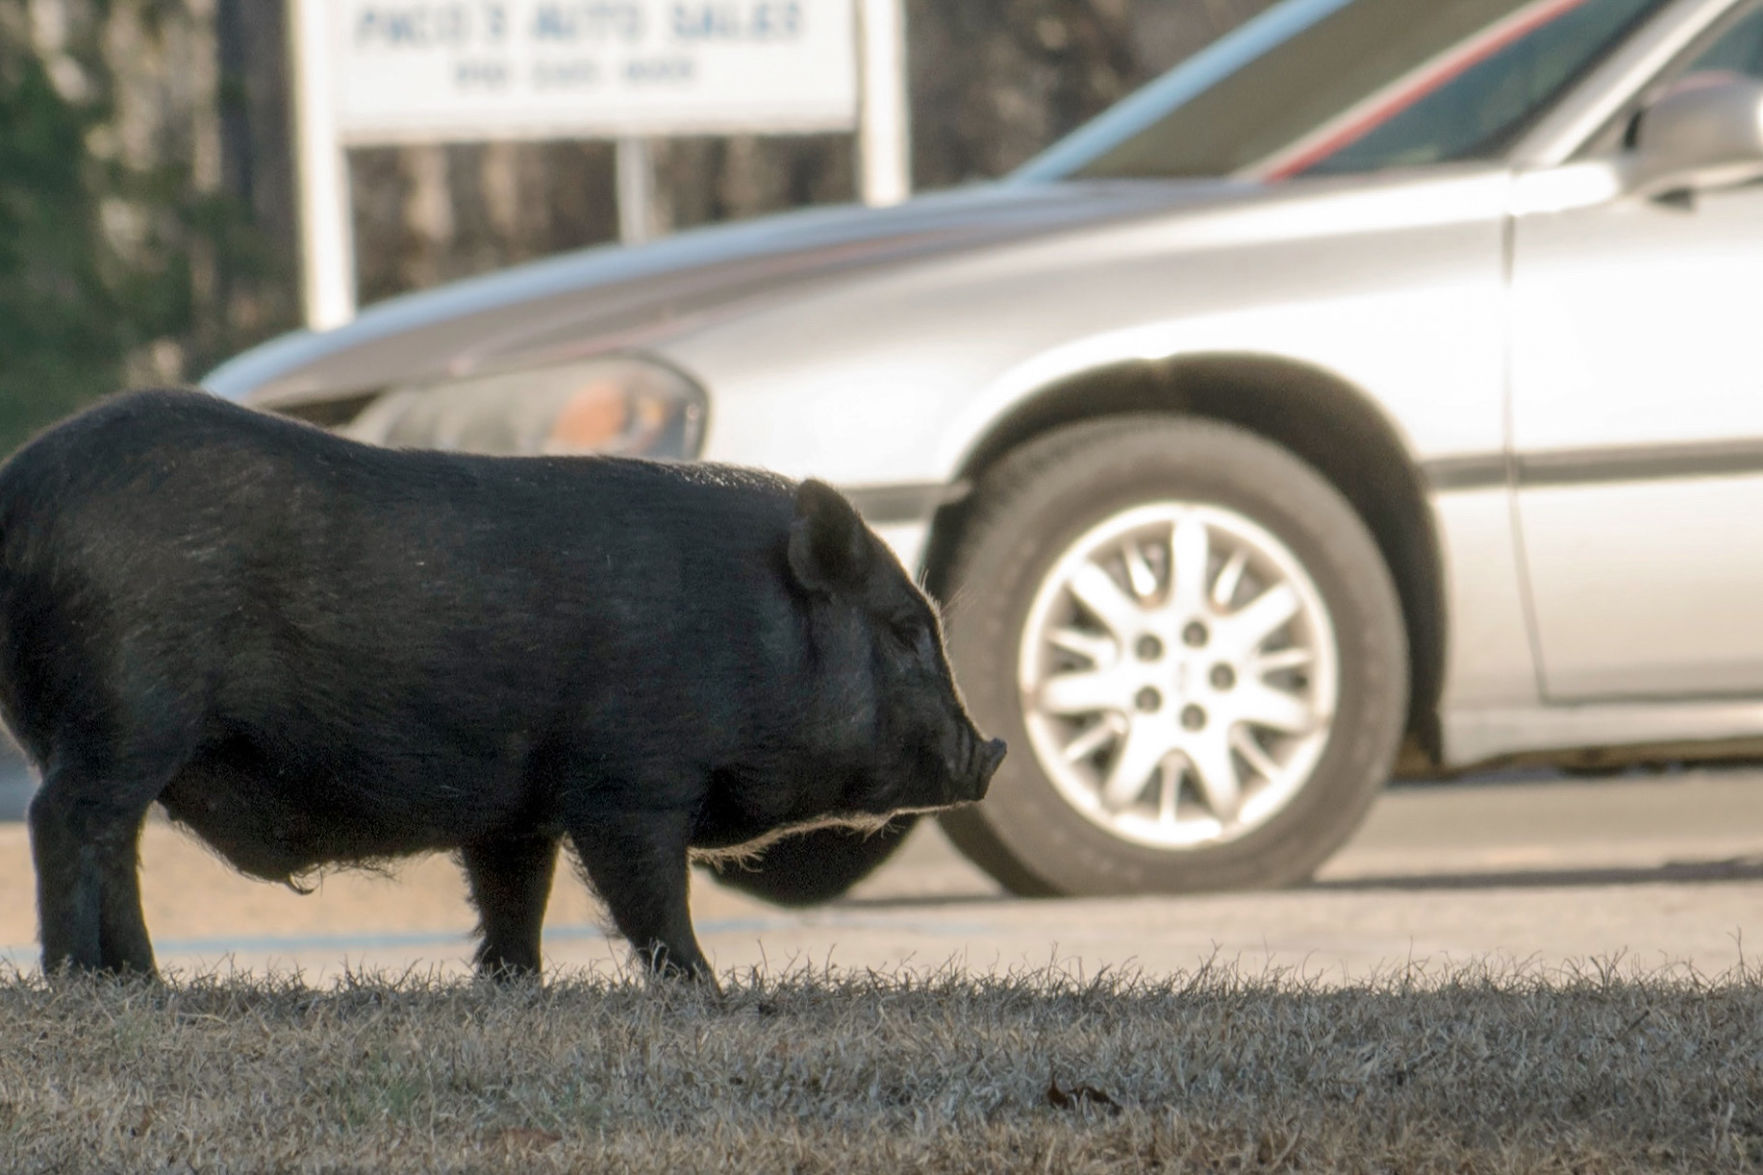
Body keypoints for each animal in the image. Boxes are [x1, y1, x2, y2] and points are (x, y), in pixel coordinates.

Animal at [0, 388, 1008, 980]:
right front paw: (707, 989)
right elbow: (651, 897)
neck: (741, 628)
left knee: (111, 840)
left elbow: (515, 894)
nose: (990, 751)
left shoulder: (519, 806)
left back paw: (139, 978)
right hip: (127, 712)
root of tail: (20, 497)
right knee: (68, 821)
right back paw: (93, 980)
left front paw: (510, 983)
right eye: (907, 630)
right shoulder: (629, 784)